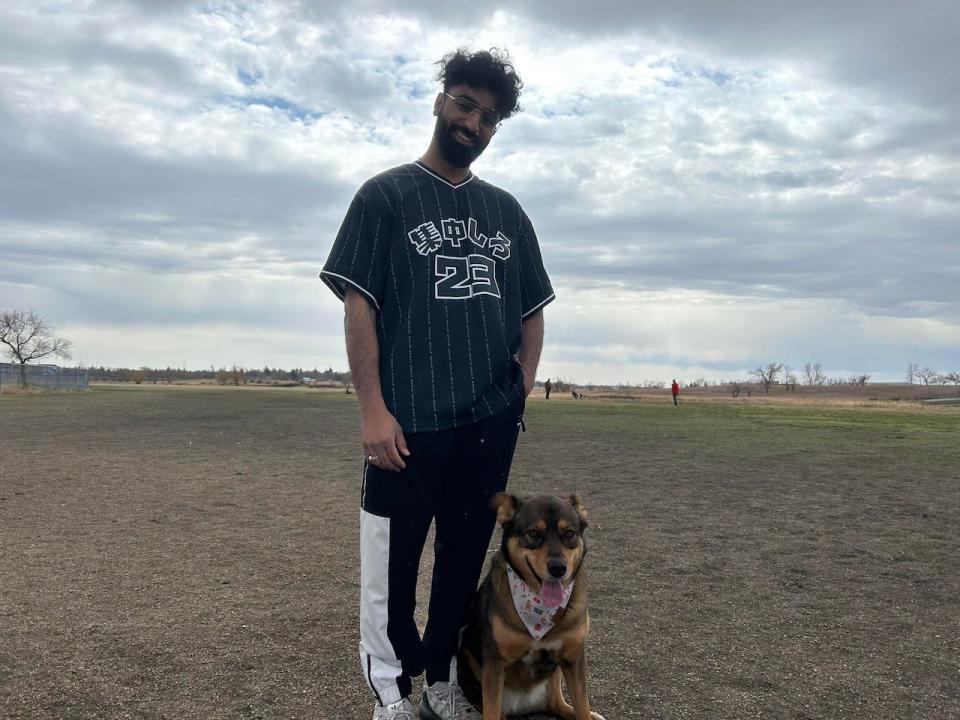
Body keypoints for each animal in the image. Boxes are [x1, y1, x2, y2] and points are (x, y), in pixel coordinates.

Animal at [460, 496, 608, 720]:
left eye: (569, 533)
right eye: (533, 533)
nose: (558, 568)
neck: (540, 612)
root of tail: (522, 705)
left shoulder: (572, 657)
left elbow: (582, 705)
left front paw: (586, 712)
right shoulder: (494, 662)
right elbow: (491, 709)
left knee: (555, 703)